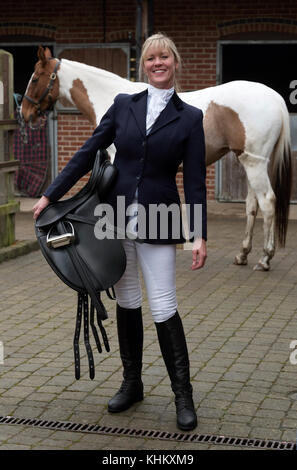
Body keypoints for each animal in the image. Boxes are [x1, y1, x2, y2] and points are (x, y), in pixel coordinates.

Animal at [21, 46, 292, 272]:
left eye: (35, 78)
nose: (25, 114)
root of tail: (275, 98)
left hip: (254, 163)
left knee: (268, 203)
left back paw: (264, 258)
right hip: (249, 162)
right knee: (252, 206)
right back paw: (243, 255)